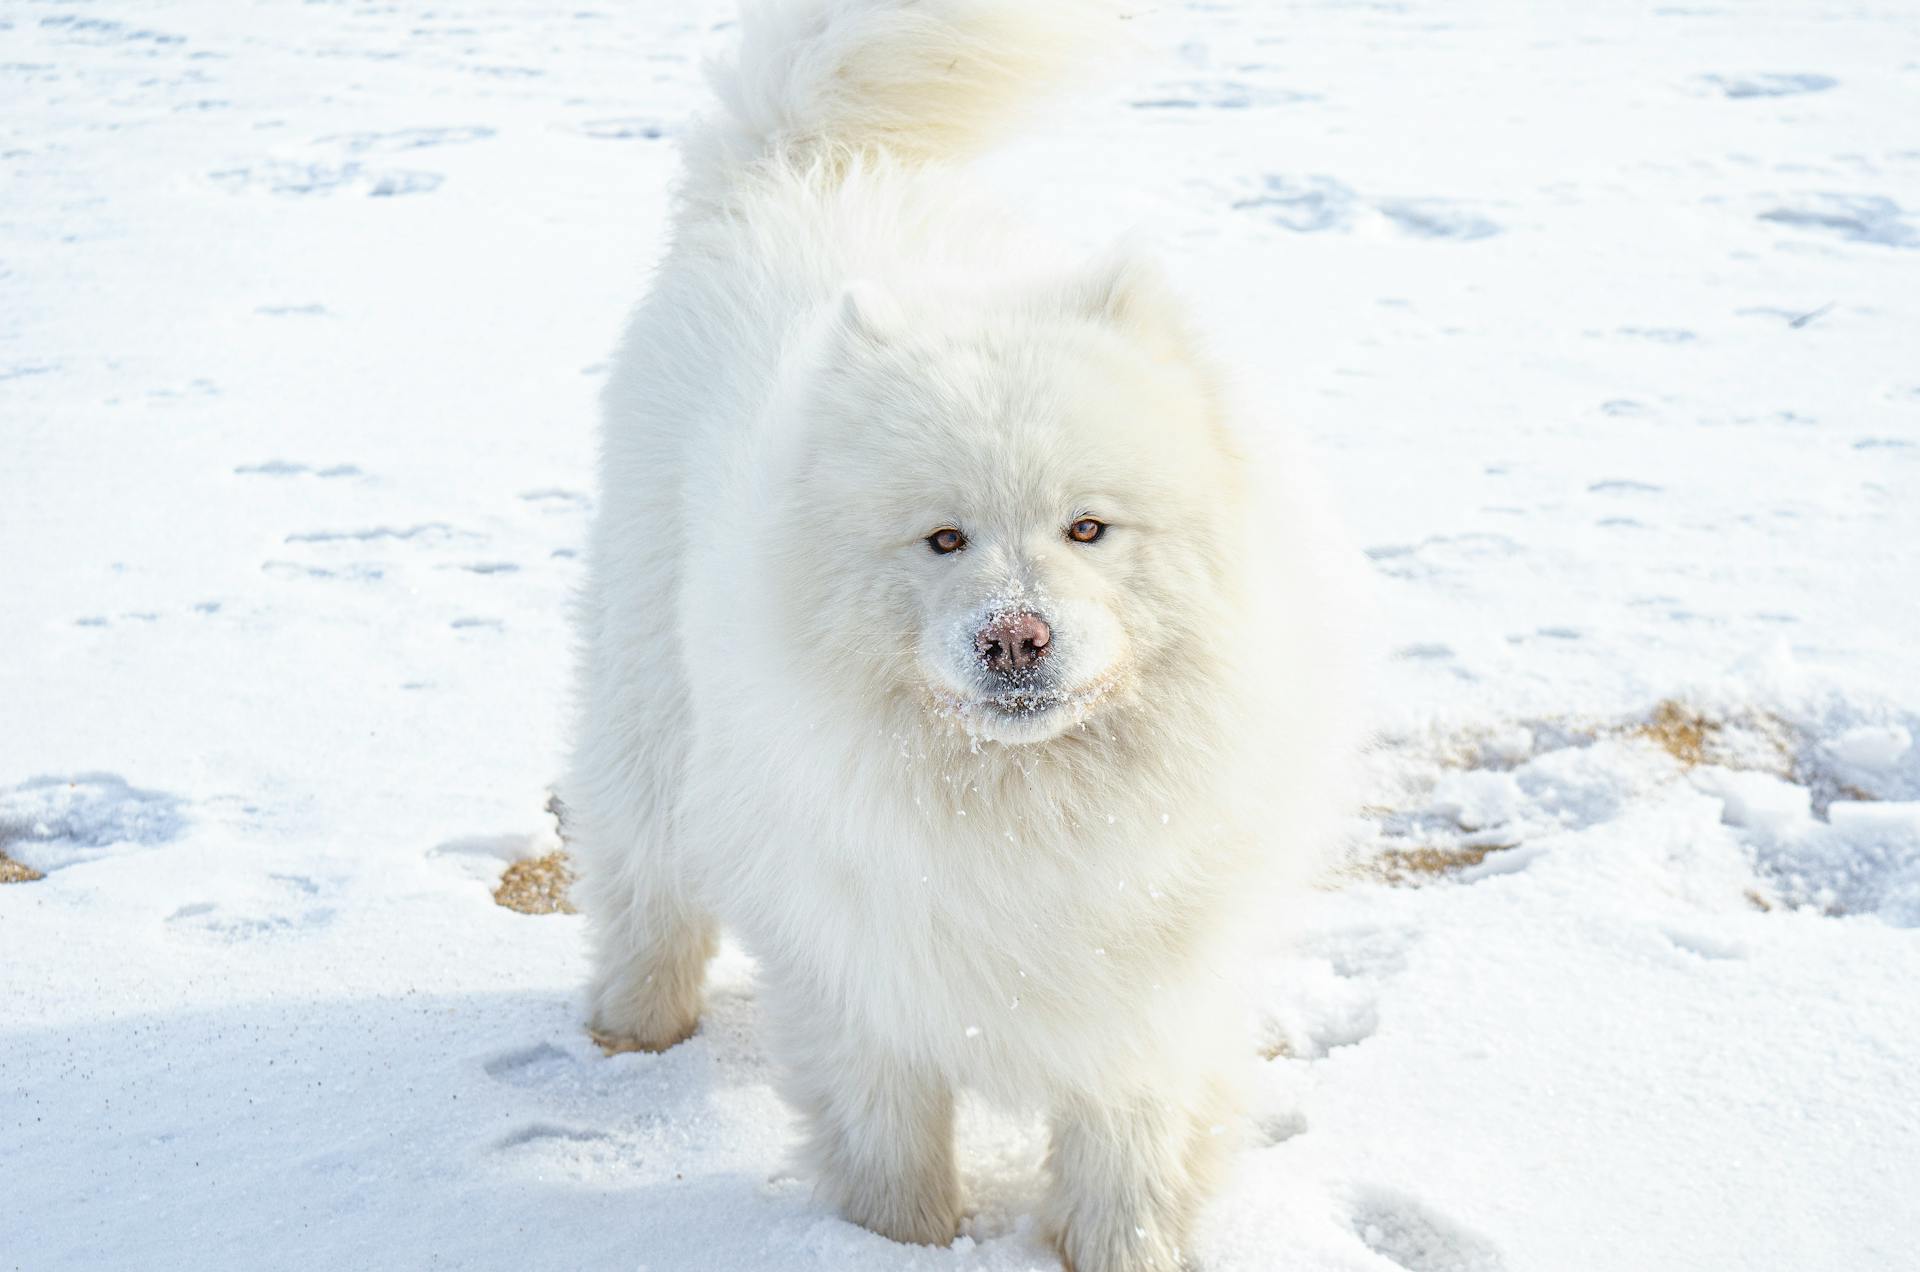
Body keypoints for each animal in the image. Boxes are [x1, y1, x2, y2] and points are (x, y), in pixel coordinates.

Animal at [564, 4, 1351, 1268]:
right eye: (943, 539)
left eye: (1088, 527)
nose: (1016, 637)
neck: (1028, 816)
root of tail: (802, 163)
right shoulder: (862, 968)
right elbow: (891, 1147)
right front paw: (898, 1243)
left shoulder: (1149, 995)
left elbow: (1128, 1161)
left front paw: (1124, 1248)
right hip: (651, 707)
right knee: (645, 879)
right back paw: (635, 1029)